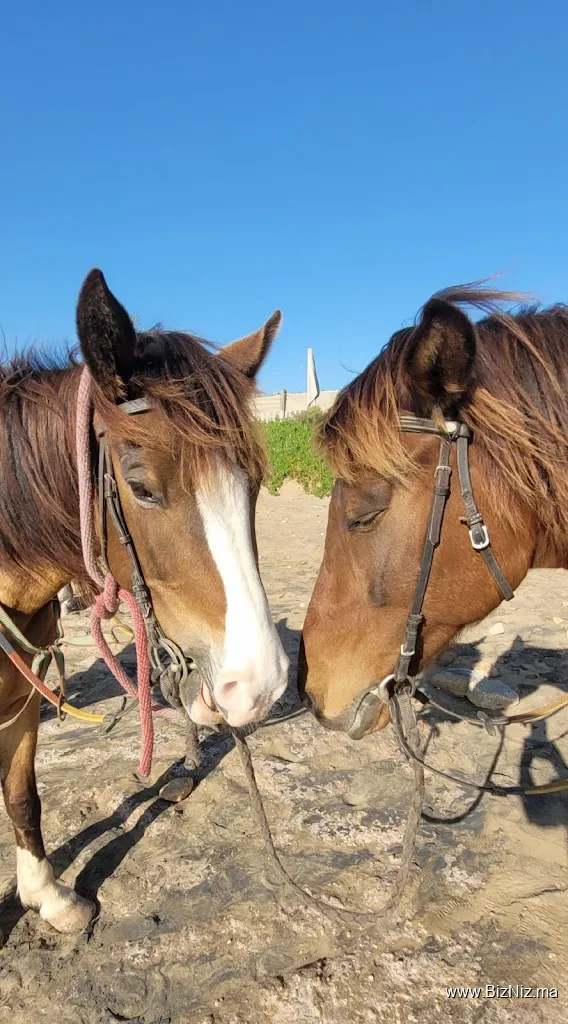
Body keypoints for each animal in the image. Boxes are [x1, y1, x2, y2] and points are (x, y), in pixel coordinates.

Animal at [0, 269, 289, 934]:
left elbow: (23, 795)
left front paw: (47, 896)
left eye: (256, 483)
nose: (258, 685)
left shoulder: (22, 705)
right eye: (141, 488)